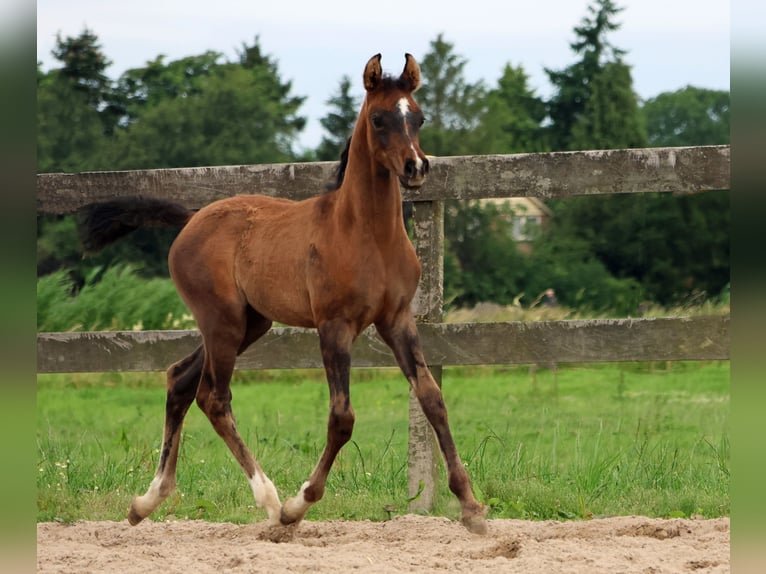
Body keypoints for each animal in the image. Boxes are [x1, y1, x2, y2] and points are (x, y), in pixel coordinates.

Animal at [78, 53, 486, 536]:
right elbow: (342, 418)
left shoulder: (398, 319)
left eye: (418, 117)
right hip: (222, 322)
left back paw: (147, 501)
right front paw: (299, 504)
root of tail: (192, 219)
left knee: (180, 380)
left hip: (250, 323)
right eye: (379, 118)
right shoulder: (334, 326)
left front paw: (471, 507)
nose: (416, 168)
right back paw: (270, 501)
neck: (366, 234)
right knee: (213, 397)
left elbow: (431, 398)